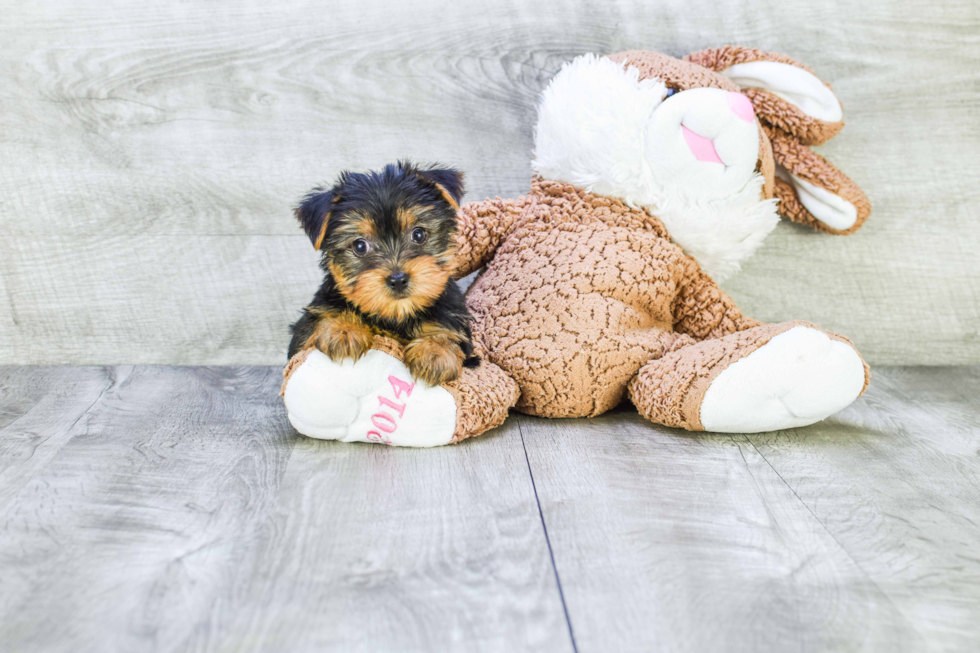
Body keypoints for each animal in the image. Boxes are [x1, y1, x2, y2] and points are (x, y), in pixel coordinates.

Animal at [288, 160, 478, 384]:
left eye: (419, 234)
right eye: (360, 246)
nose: (398, 279)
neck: (395, 315)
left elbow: (450, 334)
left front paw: (435, 351)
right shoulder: (309, 323)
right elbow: (318, 322)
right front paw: (343, 328)